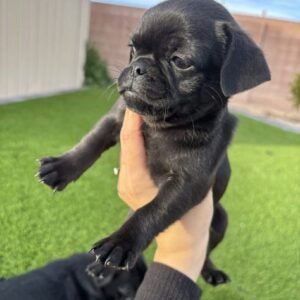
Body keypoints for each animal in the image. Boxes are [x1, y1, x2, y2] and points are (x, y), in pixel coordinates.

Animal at [37, 0, 270, 286]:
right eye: (132, 48)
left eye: (180, 61)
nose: (139, 67)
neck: (161, 125)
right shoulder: (117, 118)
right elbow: (92, 141)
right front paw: (61, 167)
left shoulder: (189, 182)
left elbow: (154, 210)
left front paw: (121, 242)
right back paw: (104, 269)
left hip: (220, 220)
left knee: (205, 251)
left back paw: (210, 271)